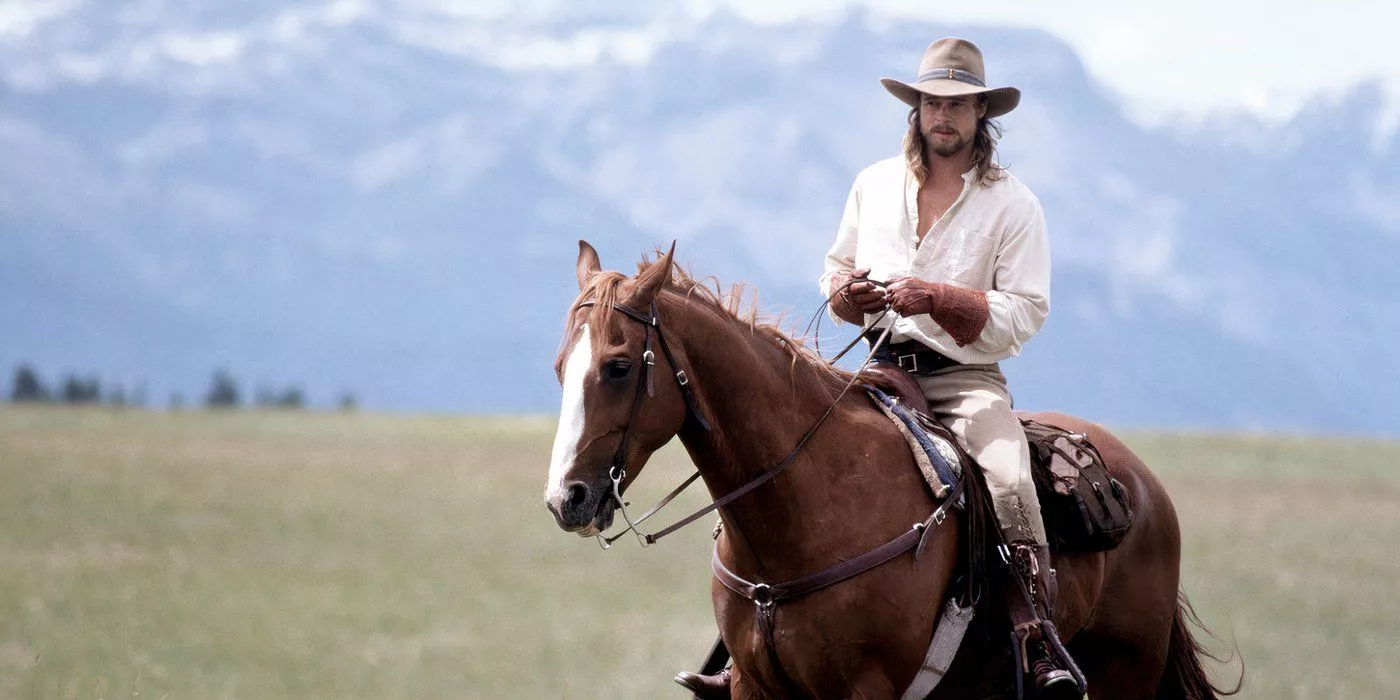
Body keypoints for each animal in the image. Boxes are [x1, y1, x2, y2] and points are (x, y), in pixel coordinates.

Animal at [546, 242, 1237, 700]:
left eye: (618, 367)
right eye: (559, 367)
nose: (566, 499)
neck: (802, 511)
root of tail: (1143, 488)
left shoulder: (867, 688)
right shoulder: (754, 687)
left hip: (1126, 675)